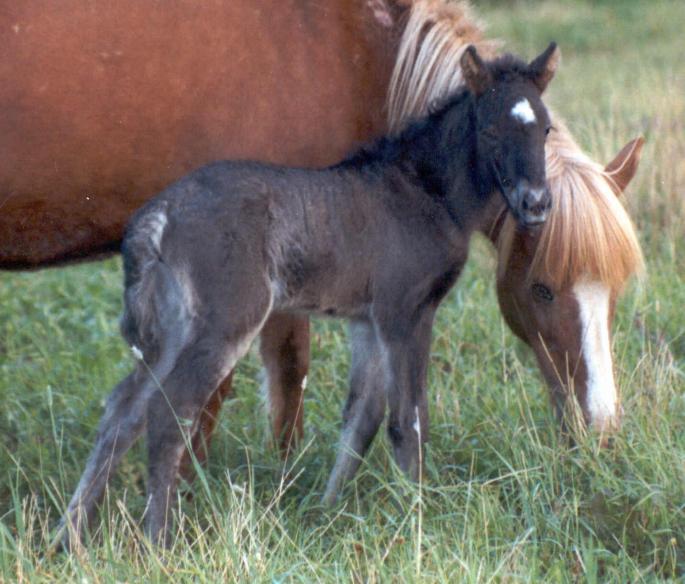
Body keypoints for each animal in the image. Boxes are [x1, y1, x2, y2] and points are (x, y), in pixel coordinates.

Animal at [61, 42, 560, 548]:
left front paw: (327, 511)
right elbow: (408, 418)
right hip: (227, 319)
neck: (427, 191)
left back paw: (70, 537)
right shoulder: (405, 311)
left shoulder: (366, 319)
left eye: (545, 128)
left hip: (172, 327)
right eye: (490, 129)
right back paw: (159, 541)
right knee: (170, 411)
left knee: (124, 408)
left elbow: (361, 418)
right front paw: (418, 516)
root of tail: (158, 216)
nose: (536, 203)